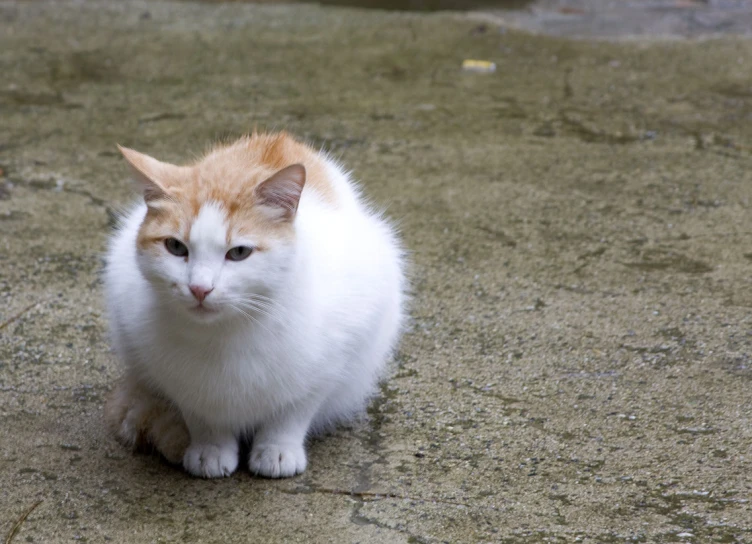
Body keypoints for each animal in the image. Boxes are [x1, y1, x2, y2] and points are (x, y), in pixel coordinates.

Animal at [102, 131, 406, 476]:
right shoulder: (173, 375)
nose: (199, 288)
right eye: (175, 247)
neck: (224, 336)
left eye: (238, 253)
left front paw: (277, 450)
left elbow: (293, 412)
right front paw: (210, 449)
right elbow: (201, 414)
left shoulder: (332, 359)